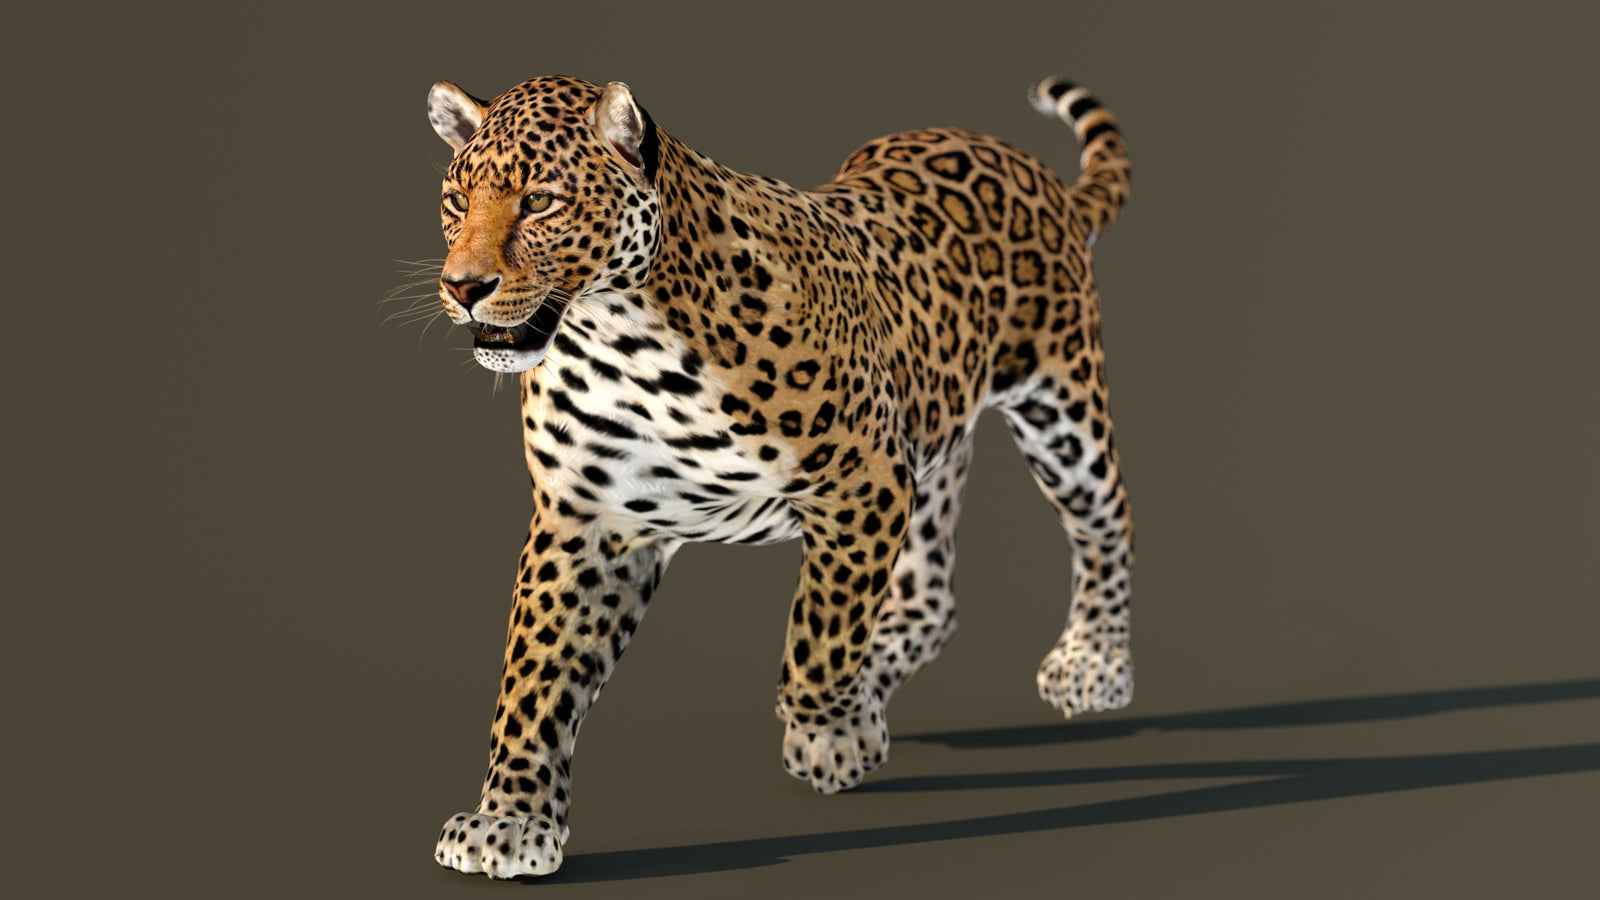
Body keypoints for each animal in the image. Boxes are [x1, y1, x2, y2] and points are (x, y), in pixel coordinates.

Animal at [418, 72, 1136, 879]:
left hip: (1061, 410)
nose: (463, 287)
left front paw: (831, 737)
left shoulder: (862, 480)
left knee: (1107, 525)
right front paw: (508, 820)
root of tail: (1024, 164)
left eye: (541, 200)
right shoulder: (586, 519)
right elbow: (534, 677)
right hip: (932, 434)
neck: (621, 338)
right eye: (457, 199)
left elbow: (820, 633)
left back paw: (1092, 663)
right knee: (930, 596)